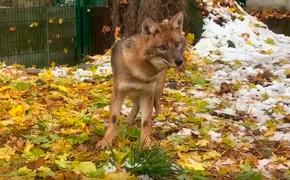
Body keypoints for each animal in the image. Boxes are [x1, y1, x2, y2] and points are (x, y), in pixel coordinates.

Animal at [96, 11, 185, 149]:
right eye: (162, 47)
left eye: (177, 44)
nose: (180, 61)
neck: (140, 72)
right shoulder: (118, 93)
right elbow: (114, 118)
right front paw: (106, 141)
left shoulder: (147, 94)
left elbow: (146, 122)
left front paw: (146, 144)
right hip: (133, 94)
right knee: (136, 105)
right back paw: (127, 123)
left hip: (157, 90)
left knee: (157, 103)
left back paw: (160, 118)